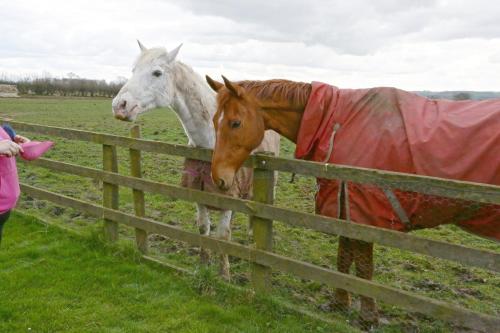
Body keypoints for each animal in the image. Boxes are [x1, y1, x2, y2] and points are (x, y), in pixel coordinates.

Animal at [111, 41, 280, 278]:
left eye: (157, 73)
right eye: (133, 69)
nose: (119, 106)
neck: (210, 143)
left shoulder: (228, 193)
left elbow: (223, 235)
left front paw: (224, 275)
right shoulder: (199, 192)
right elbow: (203, 228)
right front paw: (203, 265)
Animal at [204, 74, 500, 322]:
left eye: (235, 122)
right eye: (214, 120)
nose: (218, 178)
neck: (336, 121)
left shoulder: (362, 214)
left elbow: (364, 268)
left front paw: (367, 316)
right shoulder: (344, 206)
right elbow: (344, 259)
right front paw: (339, 303)